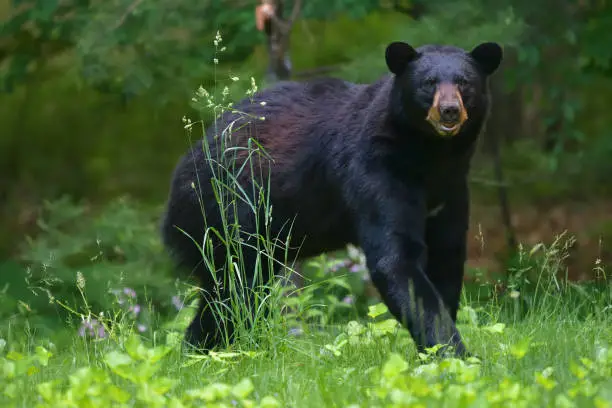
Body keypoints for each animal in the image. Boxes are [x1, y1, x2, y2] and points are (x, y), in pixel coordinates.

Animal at [161, 39, 502, 356]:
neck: (431, 156)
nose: (450, 110)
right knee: (234, 289)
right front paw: (453, 353)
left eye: (464, 82)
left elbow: (447, 255)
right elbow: (396, 258)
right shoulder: (377, 170)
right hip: (226, 213)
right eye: (428, 83)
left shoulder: (451, 188)